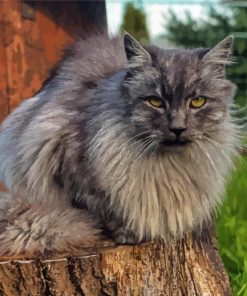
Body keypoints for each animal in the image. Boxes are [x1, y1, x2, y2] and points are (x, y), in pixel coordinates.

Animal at [0, 31, 241, 254]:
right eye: (155, 102)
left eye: (198, 102)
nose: (177, 128)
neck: (167, 165)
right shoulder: (68, 161)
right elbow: (102, 207)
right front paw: (127, 233)